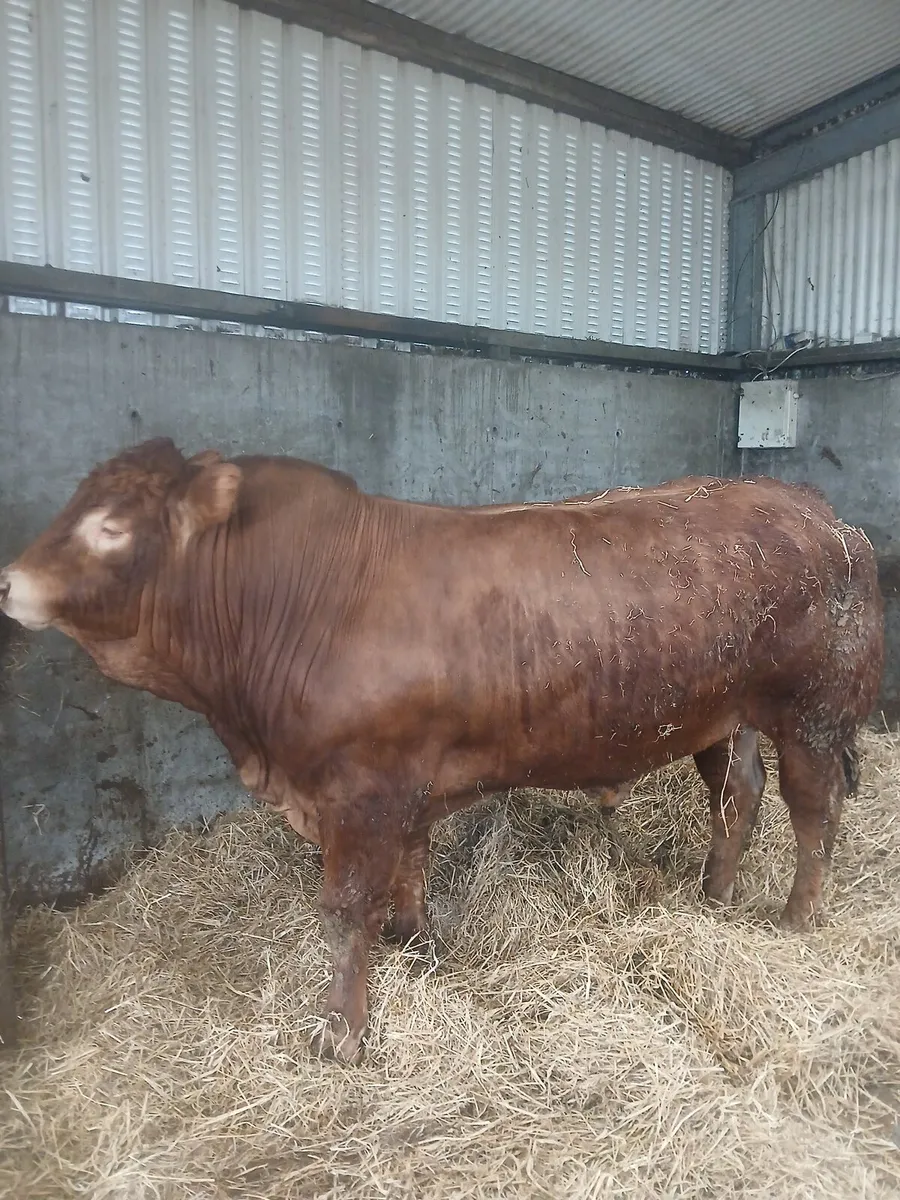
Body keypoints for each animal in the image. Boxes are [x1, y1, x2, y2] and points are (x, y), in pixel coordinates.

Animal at [0, 439, 883, 1063]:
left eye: (112, 527)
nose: (9, 582)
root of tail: (819, 512)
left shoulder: (363, 790)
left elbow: (345, 909)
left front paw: (342, 1034)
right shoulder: (404, 781)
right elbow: (410, 871)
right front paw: (418, 945)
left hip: (813, 713)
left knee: (814, 812)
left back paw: (797, 917)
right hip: (722, 716)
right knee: (737, 795)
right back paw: (714, 896)